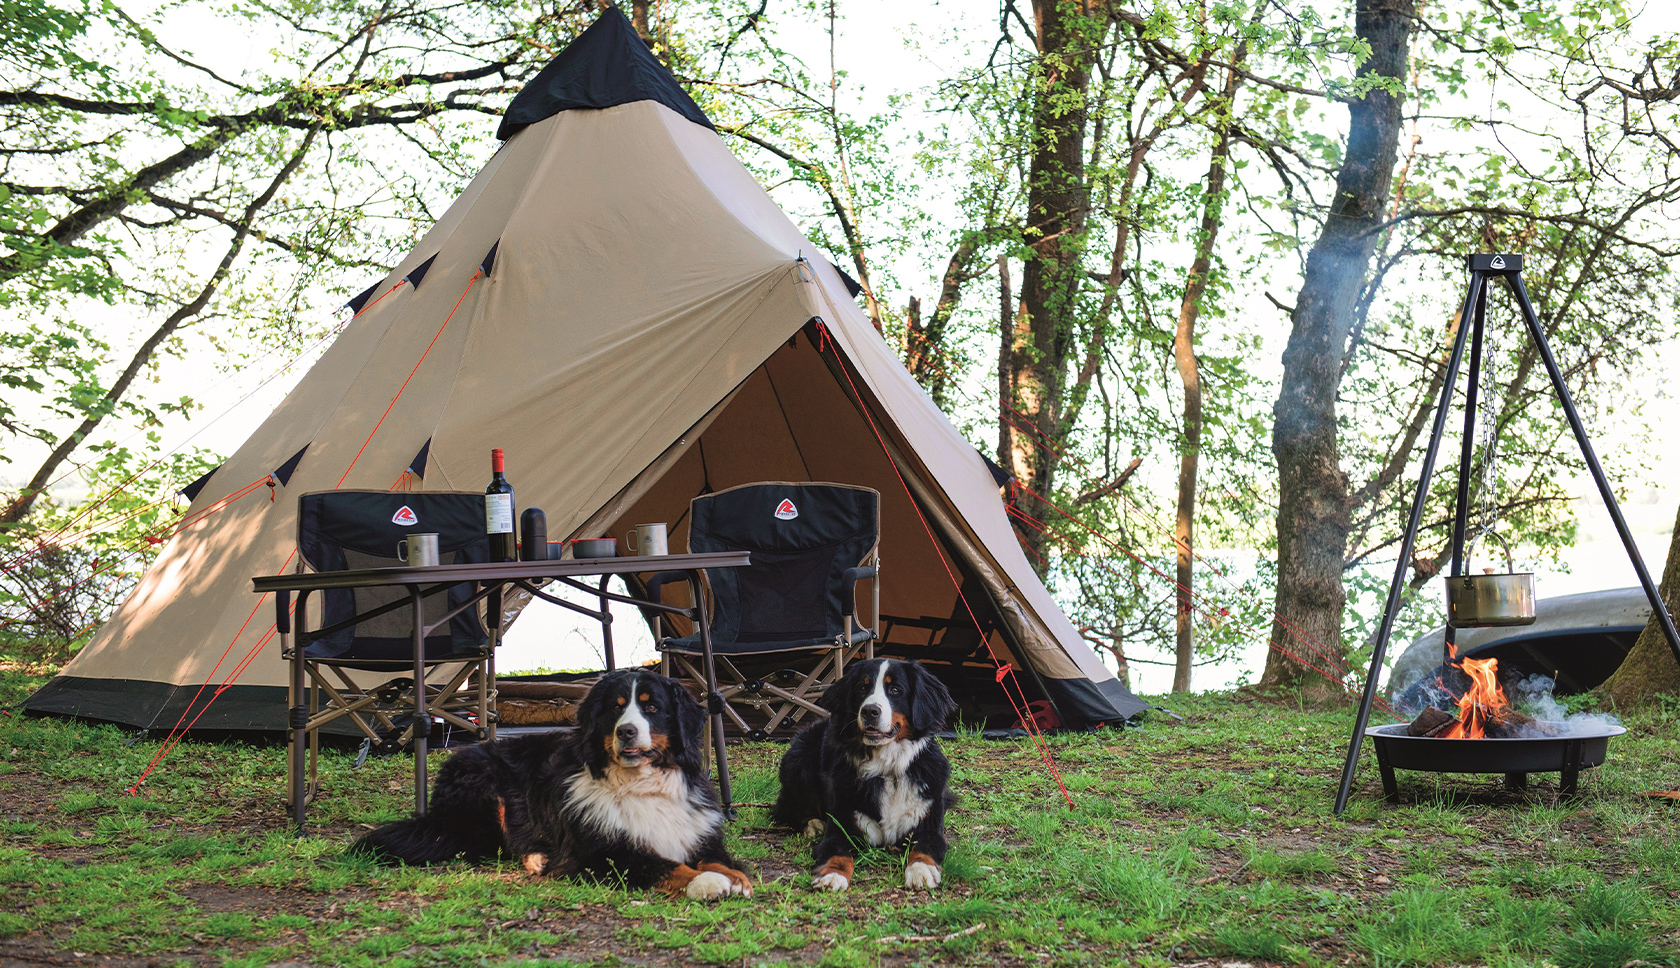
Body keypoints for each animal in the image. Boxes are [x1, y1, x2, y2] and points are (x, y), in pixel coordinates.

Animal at [351, 665, 752, 900]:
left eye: (652, 707)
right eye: (615, 707)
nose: (626, 731)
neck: (642, 784)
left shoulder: (696, 831)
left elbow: (715, 857)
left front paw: (734, 877)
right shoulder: (602, 853)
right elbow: (663, 865)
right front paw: (706, 883)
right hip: (485, 792)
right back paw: (537, 857)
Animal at [772, 658, 960, 894]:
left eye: (895, 690)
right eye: (862, 688)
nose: (870, 711)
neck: (888, 770)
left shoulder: (928, 823)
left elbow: (924, 848)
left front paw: (921, 871)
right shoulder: (843, 824)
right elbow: (837, 852)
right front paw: (831, 875)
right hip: (799, 760)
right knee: (787, 809)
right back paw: (814, 825)